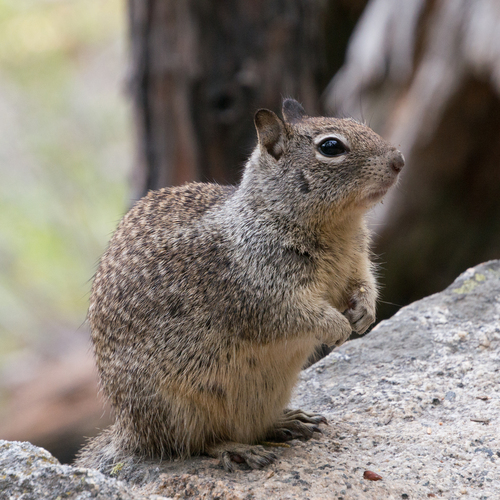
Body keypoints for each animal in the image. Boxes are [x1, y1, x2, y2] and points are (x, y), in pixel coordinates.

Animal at [76, 98, 404, 472]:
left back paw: (289, 421)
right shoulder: (262, 292)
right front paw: (337, 327)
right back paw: (240, 450)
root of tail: (128, 433)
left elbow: (365, 282)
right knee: (194, 444)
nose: (399, 160)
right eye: (331, 147)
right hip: (176, 408)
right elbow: (298, 314)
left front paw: (364, 313)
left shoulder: (357, 261)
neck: (339, 228)